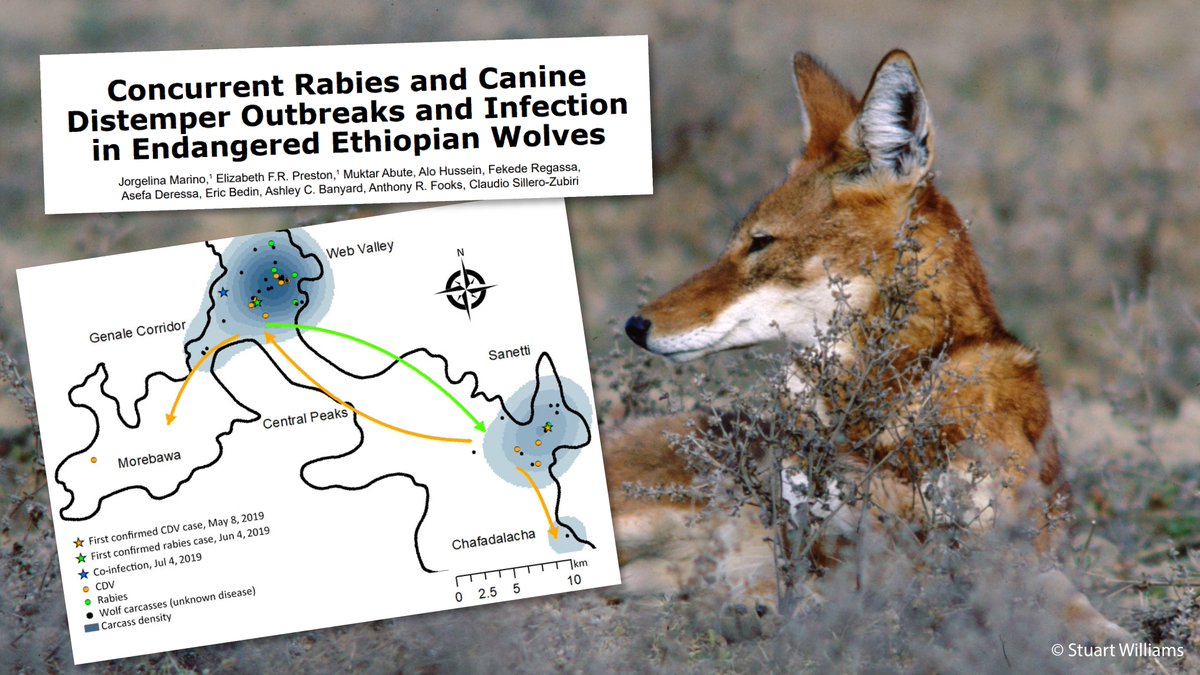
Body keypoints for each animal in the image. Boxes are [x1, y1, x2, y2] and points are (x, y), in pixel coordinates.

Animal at [608, 49, 1127, 641]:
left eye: (760, 242)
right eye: (737, 243)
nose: (635, 325)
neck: (887, 399)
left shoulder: (1009, 550)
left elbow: (1070, 606)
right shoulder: (828, 543)